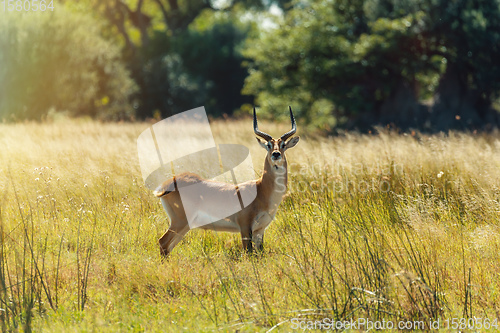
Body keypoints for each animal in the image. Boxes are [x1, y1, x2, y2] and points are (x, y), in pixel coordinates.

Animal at [154, 106, 298, 256]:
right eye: (269, 145)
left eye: (283, 145)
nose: (276, 154)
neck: (261, 189)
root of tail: (168, 183)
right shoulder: (245, 227)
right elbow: (249, 253)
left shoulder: (260, 230)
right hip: (180, 222)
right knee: (163, 242)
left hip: (185, 226)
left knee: (168, 247)